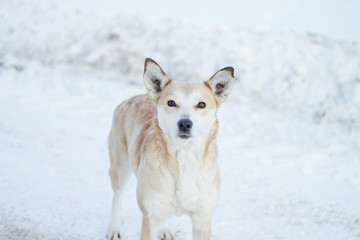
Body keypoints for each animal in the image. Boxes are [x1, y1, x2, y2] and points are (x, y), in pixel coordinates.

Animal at [107, 58, 235, 240]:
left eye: (201, 104)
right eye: (171, 103)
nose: (185, 123)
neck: (184, 158)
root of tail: (132, 98)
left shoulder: (202, 220)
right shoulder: (150, 218)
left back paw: (165, 228)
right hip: (120, 166)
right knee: (117, 194)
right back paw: (114, 227)